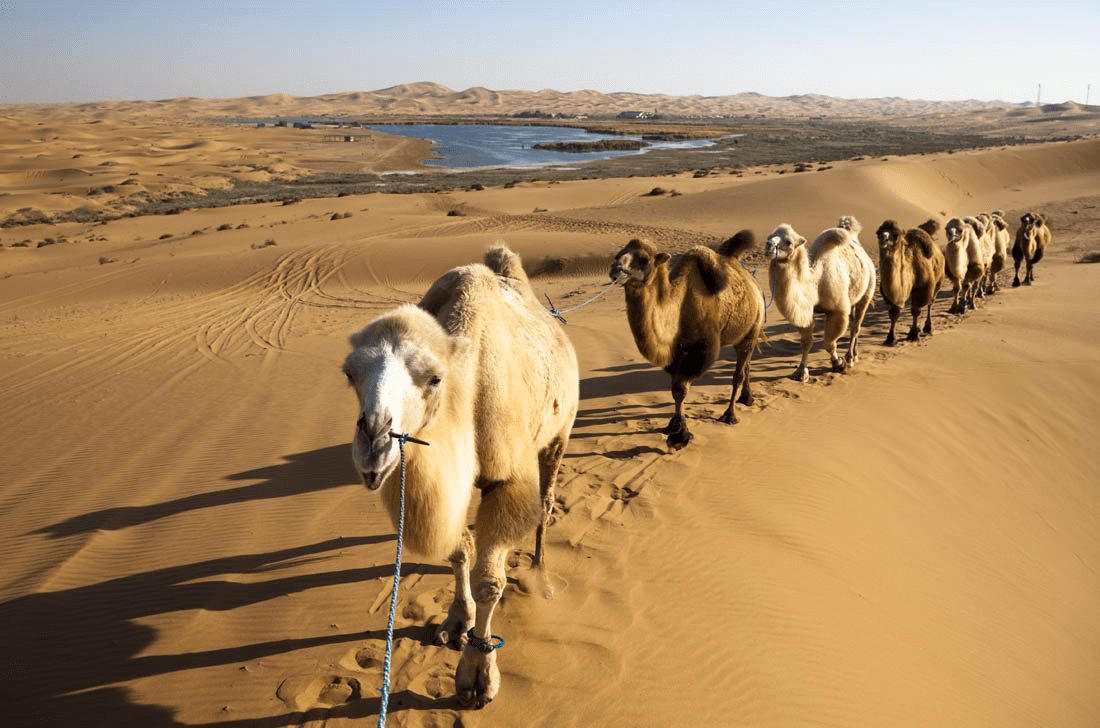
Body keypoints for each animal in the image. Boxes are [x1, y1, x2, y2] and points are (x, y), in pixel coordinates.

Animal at [343, 244, 580, 708]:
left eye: (435, 378)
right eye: (349, 375)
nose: (373, 442)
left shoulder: (507, 480)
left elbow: (490, 582)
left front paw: (477, 675)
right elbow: (458, 551)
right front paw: (457, 621)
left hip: (559, 432)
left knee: (545, 502)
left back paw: (540, 571)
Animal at [611, 232, 765, 450]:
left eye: (644, 260)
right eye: (619, 254)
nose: (615, 269)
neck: (678, 309)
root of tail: (753, 284)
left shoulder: (702, 350)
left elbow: (681, 388)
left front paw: (680, 436)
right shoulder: (676, 351)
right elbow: (675, 389)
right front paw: (672, 426)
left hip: (753, 328)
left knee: (738, 375)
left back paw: (730, 415)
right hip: (743, 335)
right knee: (747, 366)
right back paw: (747, 398)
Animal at [765, 216, 875, 382]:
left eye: (789, 241)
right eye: (770, 236)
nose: (768, 245)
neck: (815, 283)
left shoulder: (837, 311)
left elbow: (829, 343)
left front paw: (838, 363)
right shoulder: (807, 312)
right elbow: (806, 342)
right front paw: (801, 372)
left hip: (868, 291)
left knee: (856, 327)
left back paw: (850, 358)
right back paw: (854, 355)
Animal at [875, 217, 946, 347]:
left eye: (895, 235)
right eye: (878, 233)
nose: (883, 239)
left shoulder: (922, 289)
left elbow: (915, 311)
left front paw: (913, 335)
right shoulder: (893, 296)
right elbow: (894, 312)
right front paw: (890, 338)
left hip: (939, 281)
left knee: (931, 303)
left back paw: (928, 328)